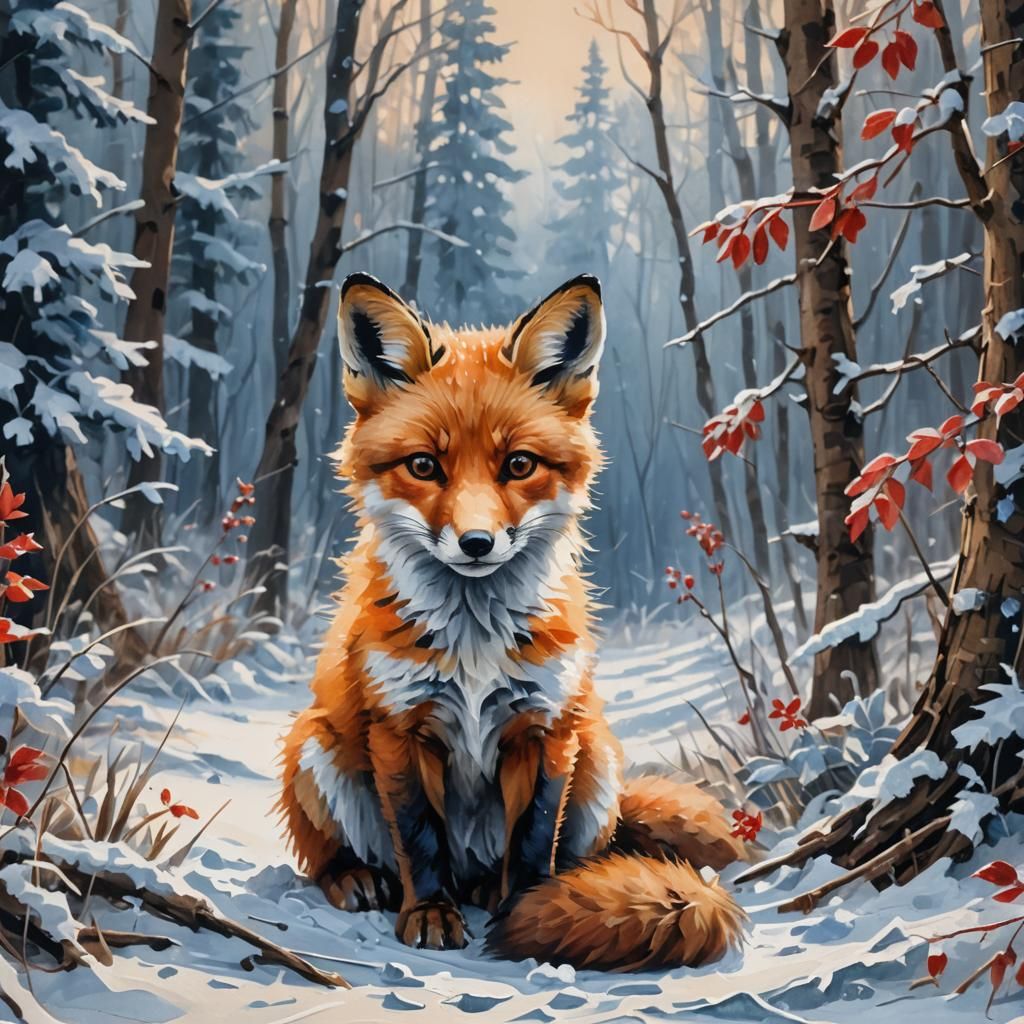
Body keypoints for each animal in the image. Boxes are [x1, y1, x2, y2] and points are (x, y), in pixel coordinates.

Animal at [277, 271, 747, 972]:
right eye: (424, 466)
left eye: (519, 465)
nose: (476, 543)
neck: (474, 646)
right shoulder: (398, 728)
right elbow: (418, 839)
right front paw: (430, 913)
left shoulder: (546, 729)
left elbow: (532, 840)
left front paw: (532, 913)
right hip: (313, 744)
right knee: (335, 853)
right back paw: (359, 878)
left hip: (597, 759)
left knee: (569, 855)